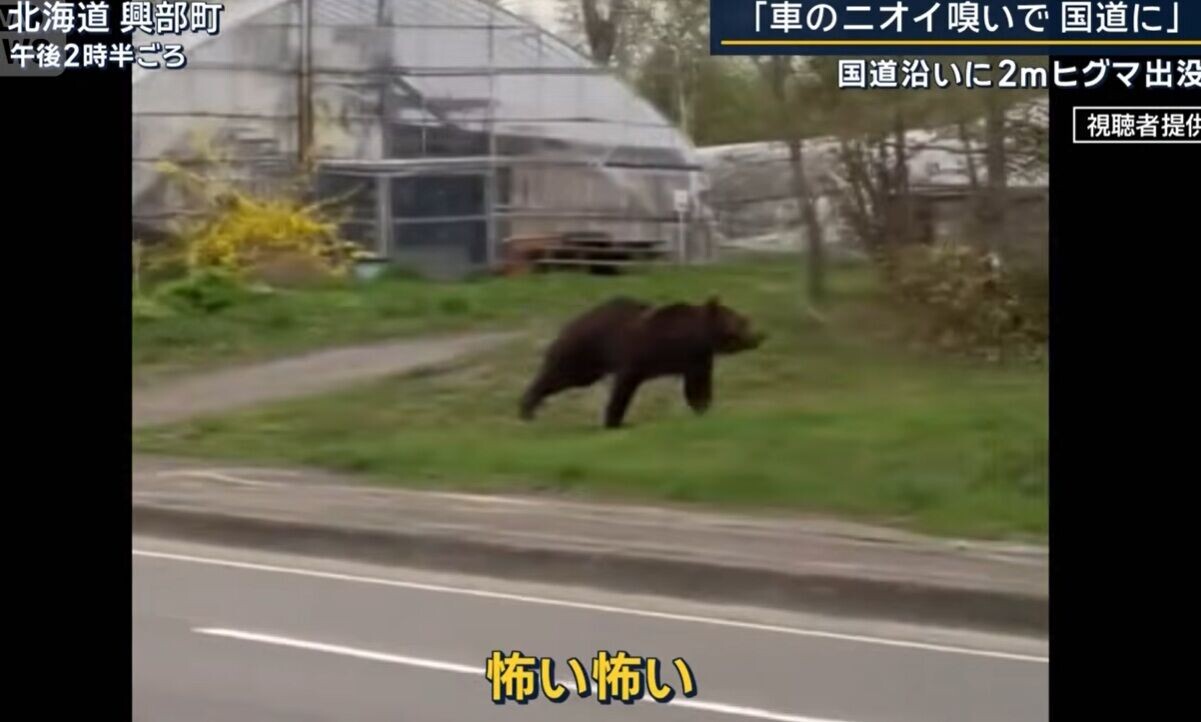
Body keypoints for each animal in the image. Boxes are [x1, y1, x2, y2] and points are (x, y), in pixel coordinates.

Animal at [519, 296, 765, 429]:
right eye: (742, 321)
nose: (760, 336)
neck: (695, 335)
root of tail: (566, 325)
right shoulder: (636, 357)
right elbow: (623, 389)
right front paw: (613, 421)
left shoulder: (696, 360)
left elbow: (697, 388)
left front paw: (704, 410)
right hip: (583, 350)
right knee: (560, 374)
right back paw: (528, 406)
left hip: (589, 364)